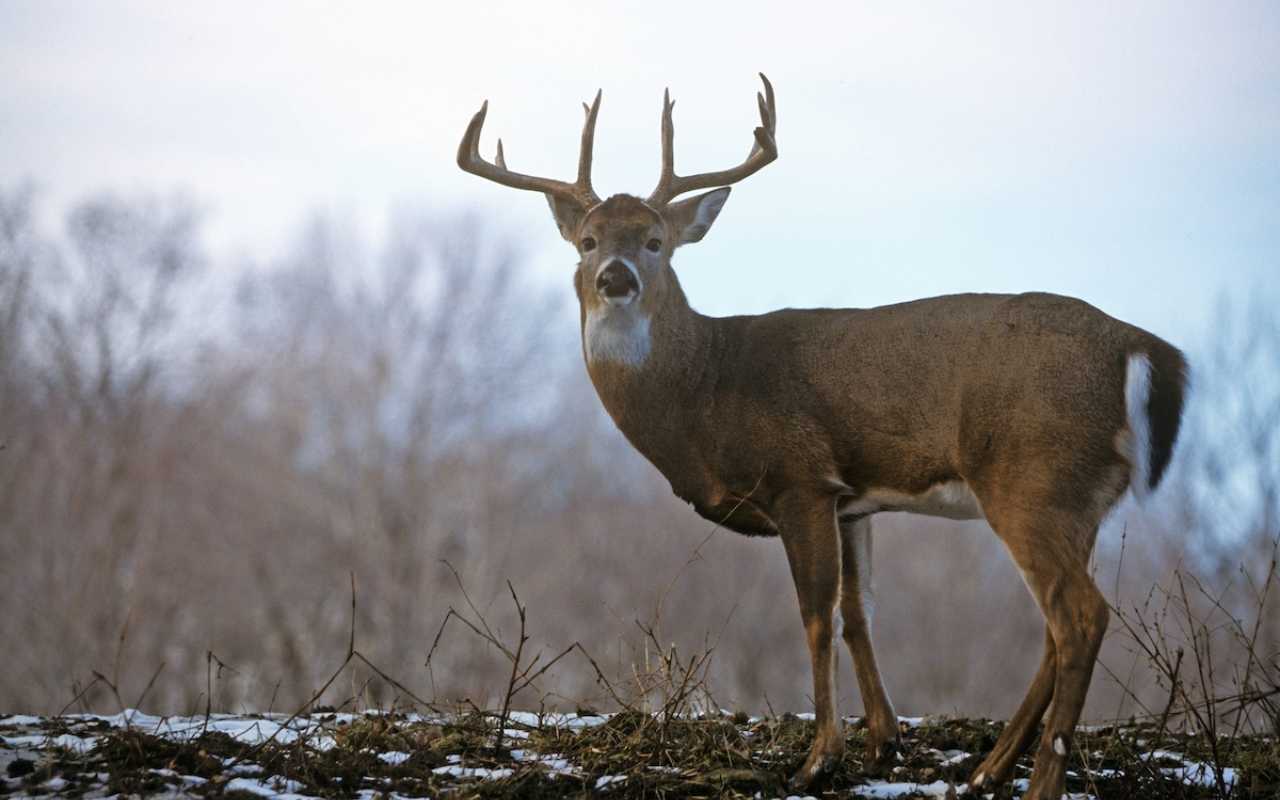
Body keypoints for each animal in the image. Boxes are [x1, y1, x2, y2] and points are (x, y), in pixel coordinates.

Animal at [456, 74, 1187, 800]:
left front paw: (819, 757)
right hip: (1079, 499)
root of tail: (1141, 345)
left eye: (655, 240)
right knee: (1056, 625)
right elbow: (859, 611)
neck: (705, 390)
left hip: (1033, 477)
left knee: (1080, 616)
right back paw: (988, 768)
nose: (615, 277)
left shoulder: (799, 478)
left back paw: (1036, 781)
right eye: (587, 240)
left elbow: (815, 614)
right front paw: (883, 742)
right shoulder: (852, 499)